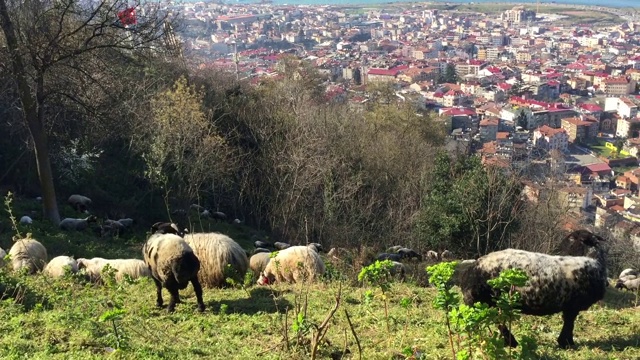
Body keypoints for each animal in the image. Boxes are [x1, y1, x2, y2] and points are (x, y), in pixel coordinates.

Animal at [458, 228, 608, 348]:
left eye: (572, 238)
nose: (556, 250)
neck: (593, 262)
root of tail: (469, 274)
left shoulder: (571, 306)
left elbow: (569, 323)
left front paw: (566, 342)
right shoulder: (572, 306)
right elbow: (569, 324)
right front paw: (567, 343)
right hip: (491, 300)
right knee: (498, 321)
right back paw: (511, 342)